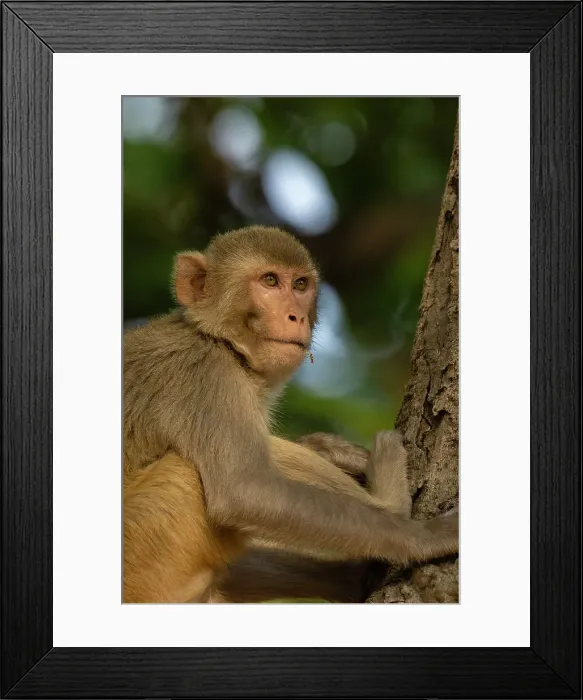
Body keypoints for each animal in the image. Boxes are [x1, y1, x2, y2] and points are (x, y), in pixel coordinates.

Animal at [123, 226, 458, 603]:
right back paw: (393, 502)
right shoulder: (205, 376)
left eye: (300, 285)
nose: (296, 316)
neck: (221, 342)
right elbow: (247, 491)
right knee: (189, 470)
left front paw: (326, 448)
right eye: (269, 281)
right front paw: (426, 536)